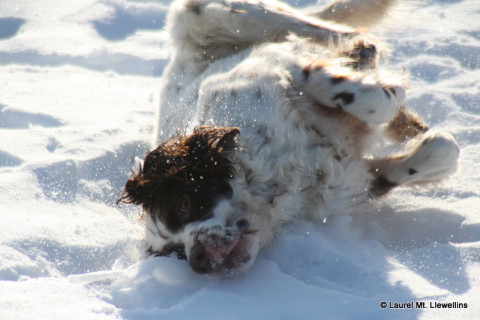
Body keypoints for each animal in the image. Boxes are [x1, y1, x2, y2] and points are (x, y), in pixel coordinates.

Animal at [118, 0, 460, 276]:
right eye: (175, 253)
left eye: (184, 204)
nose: (199, 260)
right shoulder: (349, 184)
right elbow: (442, 150)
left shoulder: (276, 68)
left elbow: (369, 101)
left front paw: (385, 88)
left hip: (205, 12)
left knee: (326, 29)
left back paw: (360, 53)